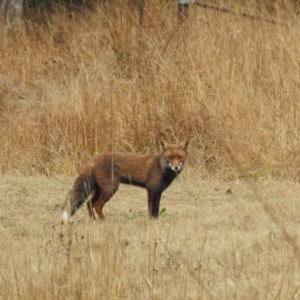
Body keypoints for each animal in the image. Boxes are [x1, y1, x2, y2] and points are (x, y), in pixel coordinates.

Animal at [60, 139, 189, 221]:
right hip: (110, 189)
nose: (176, 167)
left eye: (180, 158)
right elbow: (151, 209)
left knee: (89, 203)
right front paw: (151, 221)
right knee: (97, 205)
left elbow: (156, 209)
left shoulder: (158, 191)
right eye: (170, 158)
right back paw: (103, 220)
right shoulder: (151, 189)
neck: (161, 168)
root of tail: (92, 159)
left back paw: (93, 220)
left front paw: (156, 220)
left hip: (100, 189)